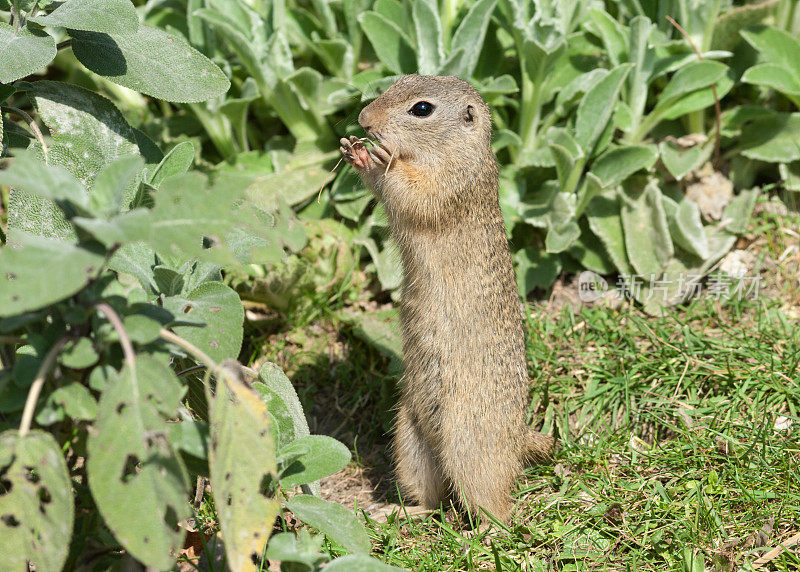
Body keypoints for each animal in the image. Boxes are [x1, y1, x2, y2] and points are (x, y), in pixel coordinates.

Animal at [340, 73, 556, 520]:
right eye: (398, 81)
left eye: (422, 109)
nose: (364, 119)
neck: (454, 149)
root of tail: (519, 437)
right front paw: (358, 152)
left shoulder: (447, 185)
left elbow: (412, 191)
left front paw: (378, 156)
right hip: (411, 441)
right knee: (434, 501)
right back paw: (393, 513)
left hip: (468, 446)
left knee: (495, 507)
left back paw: (489, 528)